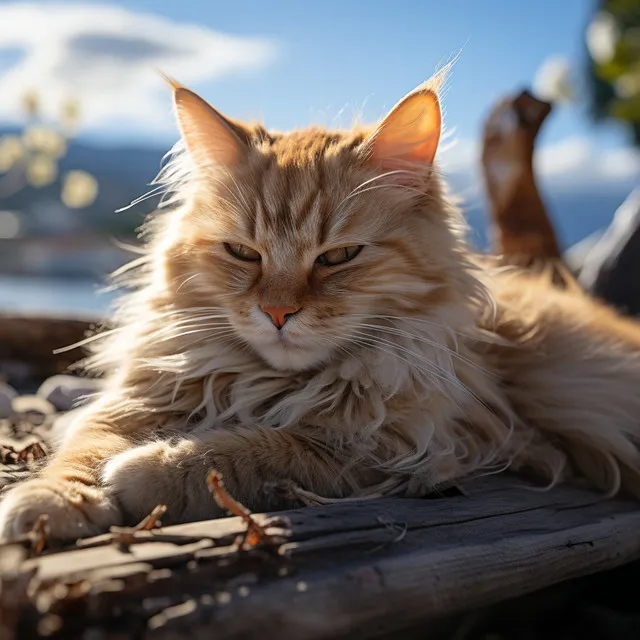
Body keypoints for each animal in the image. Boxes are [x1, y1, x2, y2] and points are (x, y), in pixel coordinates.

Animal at [1, 72, 640, 544]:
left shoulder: (395, 450)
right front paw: (49, 503)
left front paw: (149, 470)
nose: (278, 313)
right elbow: (82, 450)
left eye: (338, 257)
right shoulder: (135, 400)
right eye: (243, 253)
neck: (269, 383)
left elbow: (247, 450)